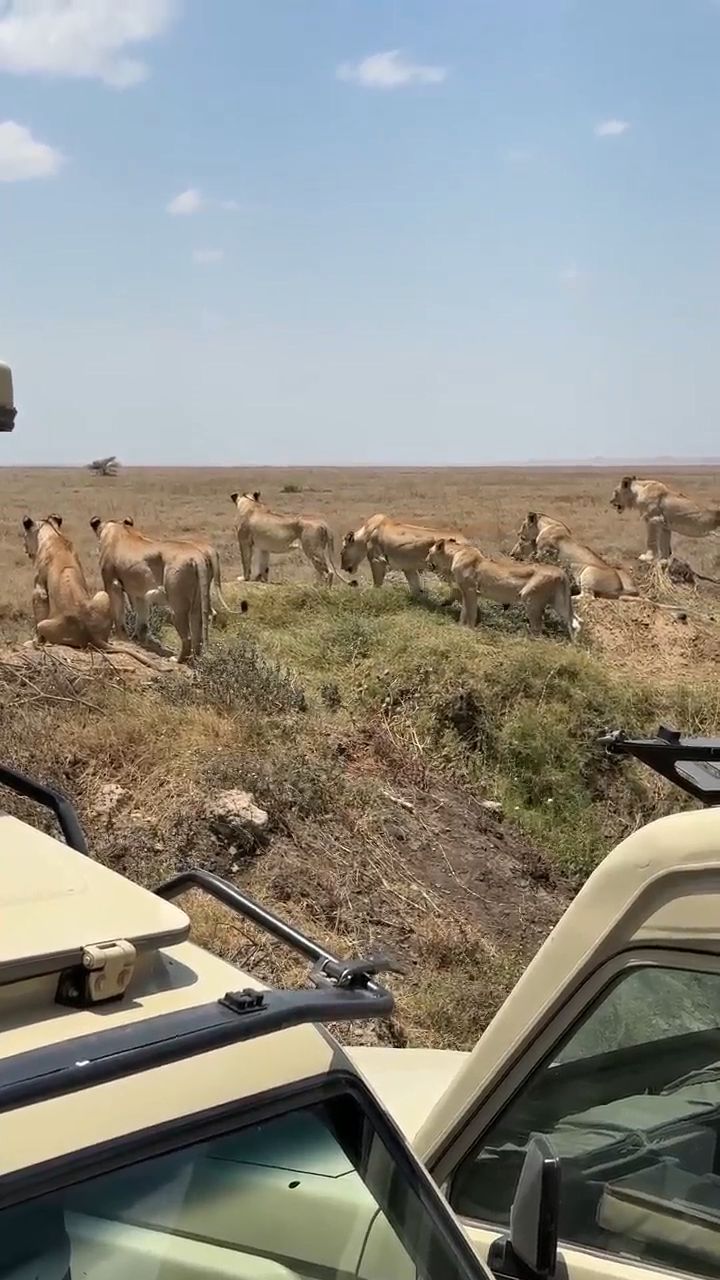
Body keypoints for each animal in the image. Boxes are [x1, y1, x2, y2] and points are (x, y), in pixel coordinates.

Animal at [19, 512, 158, 670]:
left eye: (24, 535)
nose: (24, 548)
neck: (53, 535)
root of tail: (92, 635)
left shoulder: (39, 589)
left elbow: (38, 613)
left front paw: (33, 642)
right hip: (103, 594)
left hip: (46, 625)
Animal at [89, 517, 210, 665]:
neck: (117, 528)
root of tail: (197, 557)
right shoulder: (140, 594)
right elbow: (142, 620)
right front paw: (140, 640)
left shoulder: (112, 583)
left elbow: (118, 616)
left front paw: (122, 639)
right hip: (196, 604)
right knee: (198, 634)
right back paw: (195, 661)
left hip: (177, 605)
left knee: (187, 637)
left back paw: (177, 660)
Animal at [338, 512, 468, 596]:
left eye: (341, 551)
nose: (342, 567)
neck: (365, 534)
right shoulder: (409, 568)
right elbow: (415, 587)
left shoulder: (377, 560)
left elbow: (377, 583)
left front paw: (371, 593)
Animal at [425, 537, 576, 640]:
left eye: (429, 551)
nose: (426, 561)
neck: (455, 553)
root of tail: (560, 571)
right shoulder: (466, 592)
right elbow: (464, 611)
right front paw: (460, 627)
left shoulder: (470, 590)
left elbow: (471, 612)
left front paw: (468, 630)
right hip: (559, 602)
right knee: (574, 621)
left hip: (530, 597)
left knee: (538, 628)